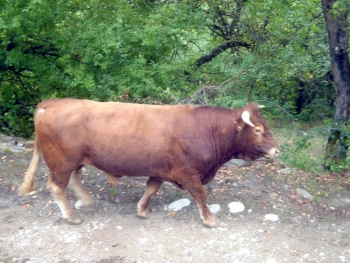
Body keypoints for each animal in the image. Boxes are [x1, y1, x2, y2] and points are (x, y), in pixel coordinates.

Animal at [19, 99, 278, 229]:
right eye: (257, 129)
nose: (276, 150)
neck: (204, 129)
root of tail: (52, 103)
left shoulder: (161, 170)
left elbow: (151, 189)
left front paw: (142, 210)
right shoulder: (187, 173)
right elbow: (201, 195)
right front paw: (209, 219)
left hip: (74, 161)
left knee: (73, 179)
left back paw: (87, 201)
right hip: (62, 161)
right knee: (57, 187)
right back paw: (71, 216)